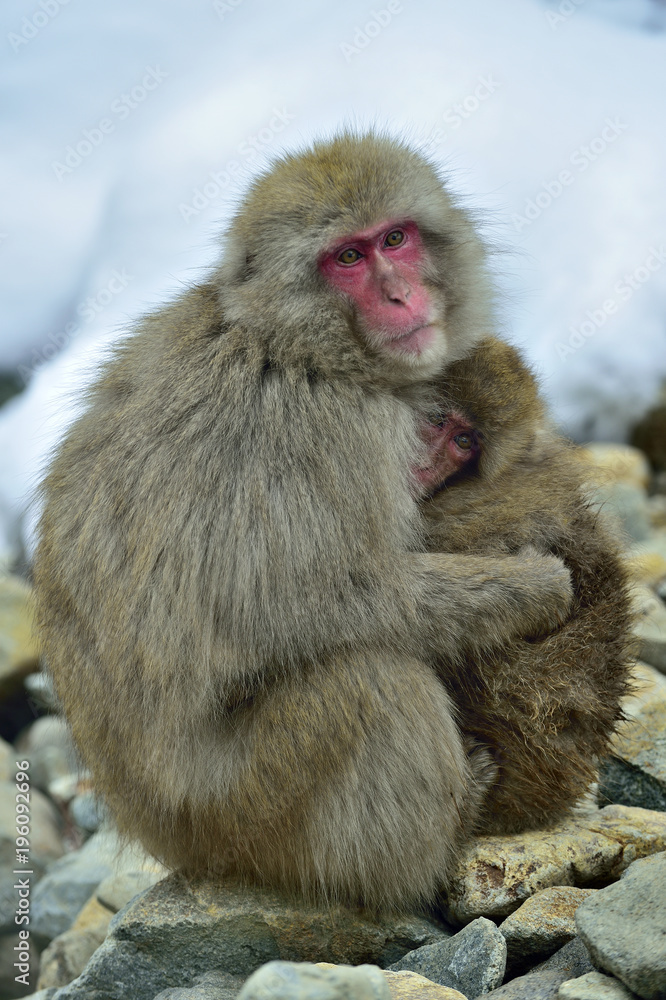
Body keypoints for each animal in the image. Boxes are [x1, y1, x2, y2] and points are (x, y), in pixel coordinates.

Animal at [34, 132, 576, 913]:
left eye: (396, 239)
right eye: (347, 258)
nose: (400, 294)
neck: (299, 345)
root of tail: (157, 832)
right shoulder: (328, 429)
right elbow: (309, 600)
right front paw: (537, 586)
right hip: (246, 809)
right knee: (370, 682)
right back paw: (442, 831)